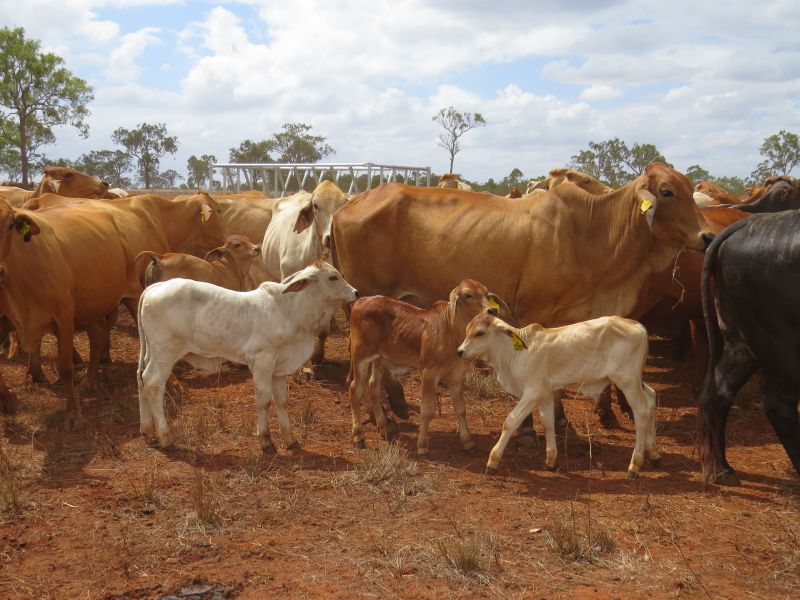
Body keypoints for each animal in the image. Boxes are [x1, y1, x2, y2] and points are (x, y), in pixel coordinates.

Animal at [0, 198, 129, 427]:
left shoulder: (64, 317)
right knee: (97, 337)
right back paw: (89, 381)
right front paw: (9, 401)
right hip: (88, 309)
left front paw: (73, 414)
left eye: (9, 225)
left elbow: (66, 367)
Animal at [136, 261, 358, 450]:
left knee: (141, 379)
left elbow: (281, 400)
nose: (356, 292)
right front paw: (266, 440)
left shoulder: (278, 368)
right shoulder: (262, 361)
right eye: (332, 277)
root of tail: (154, 288)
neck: (290, 311)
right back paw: (165, 437)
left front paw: (290, 439)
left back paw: (148, 432)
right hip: (165, 352)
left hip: (151, 353)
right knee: (153, 383)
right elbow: (263, 400)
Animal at [347, 279, 507, 455]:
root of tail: (361, 301)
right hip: (360, 357)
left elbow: (461, 408)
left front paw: (468, 441)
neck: (450, 331)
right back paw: (358, 436)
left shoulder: (456, 374)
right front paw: (422, 445)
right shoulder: (429, 374)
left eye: (487, 294)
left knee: (373, 386)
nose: (492, 310)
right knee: (355, 389)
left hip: (379, 360)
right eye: (468, 295)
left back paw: (384, 428)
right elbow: (427, 410)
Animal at [457, 313, 660, 477]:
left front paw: (492, 462)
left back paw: (634, 466)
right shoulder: (546, 393)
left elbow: (511, 421)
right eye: (467, 330)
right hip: (635, 380)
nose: (459, 351)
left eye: (480, 333)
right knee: (651, 399)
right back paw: (654, 454)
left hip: (627, 380)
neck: (514, 352)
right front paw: (551, 462)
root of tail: (638, 325)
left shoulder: (533, 391)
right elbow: (547, 422)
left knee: (641, 411)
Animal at [698, 211, 800, 484]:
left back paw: (722, 468)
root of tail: (750, 221)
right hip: (779, 345)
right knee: (778, 404)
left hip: (741, 342)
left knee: (719, 391)